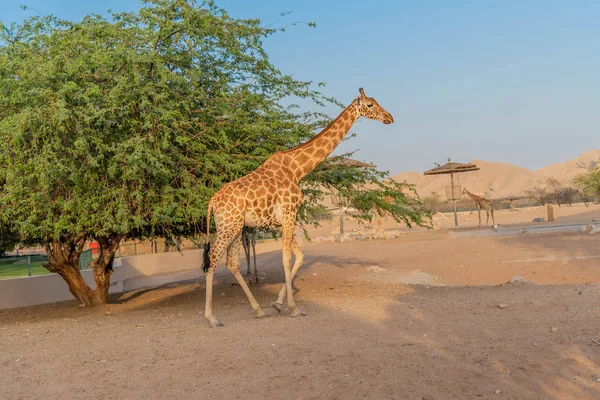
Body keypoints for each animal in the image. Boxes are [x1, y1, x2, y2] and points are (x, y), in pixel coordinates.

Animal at [204, 86, 396, 324]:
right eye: (370, 104)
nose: (389, 117)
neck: (297, 170)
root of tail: (212, 201)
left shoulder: (280, 221)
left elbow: (300, 256)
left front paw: (277, 304)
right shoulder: (289, 213)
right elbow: (286, 258)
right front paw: (294, 308)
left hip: (236, 227)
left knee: (231, 263)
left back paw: (258, 310)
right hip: (228, 226)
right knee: (213, 258)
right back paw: (212, 317)